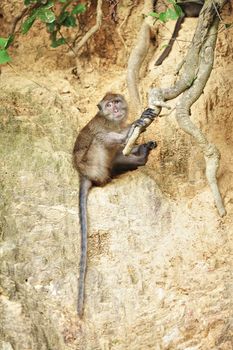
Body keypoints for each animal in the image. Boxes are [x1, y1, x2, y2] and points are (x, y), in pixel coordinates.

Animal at [73, 93, 157, 318]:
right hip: (93, 164)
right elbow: (104, 136)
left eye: (117, 102)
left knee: (117, 154)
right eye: (109, 105)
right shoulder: (104, 126)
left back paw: (140, 157)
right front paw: (133, 127)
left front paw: (140, 141)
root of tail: (83, 174)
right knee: (103, 142)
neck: (113, 121)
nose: (116, 109)